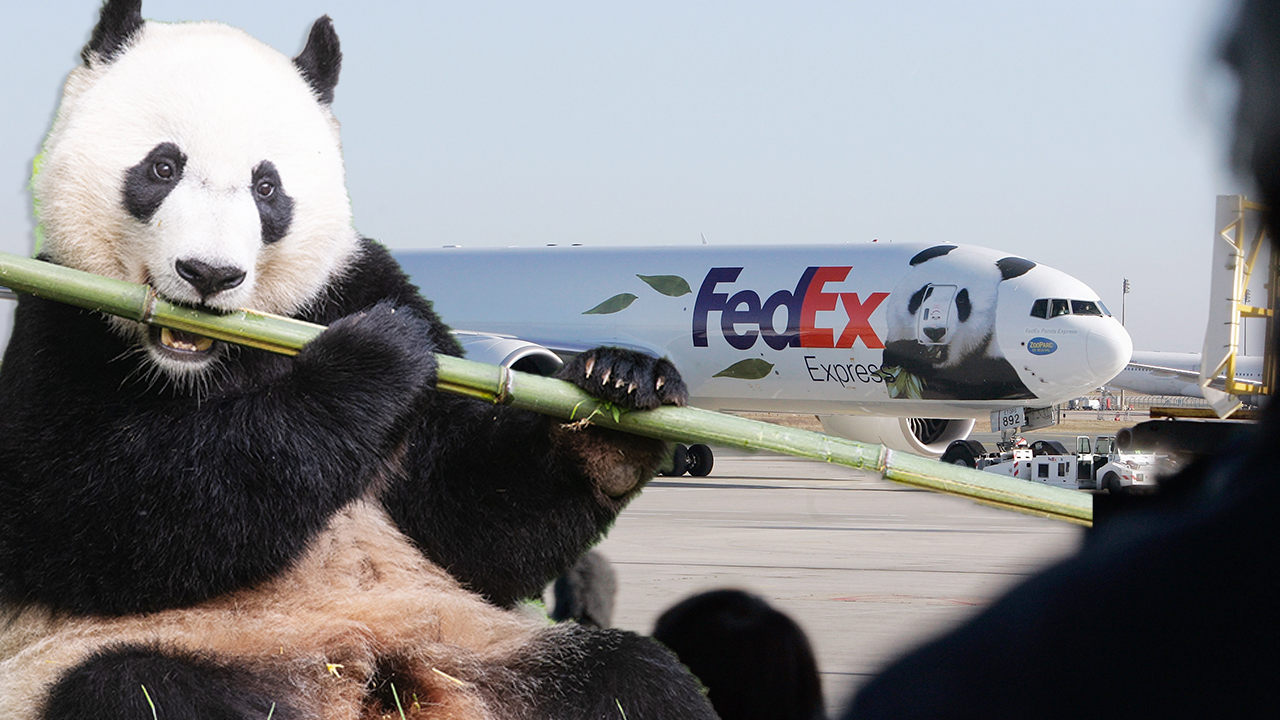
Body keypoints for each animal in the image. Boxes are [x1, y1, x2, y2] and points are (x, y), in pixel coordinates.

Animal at [0, 2, 721, 712]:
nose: (209, 274)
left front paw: (619, 392)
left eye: (267, 188)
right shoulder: (57, 319)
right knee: (138, 687)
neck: (218, 360)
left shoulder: (355, 280)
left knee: (633, 678)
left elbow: (466, 522)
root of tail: (374, 685)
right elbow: (82, 512)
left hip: (478, 646)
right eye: (162, 167)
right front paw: (375, 359)